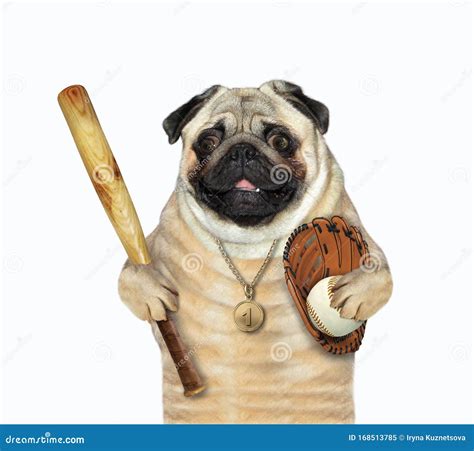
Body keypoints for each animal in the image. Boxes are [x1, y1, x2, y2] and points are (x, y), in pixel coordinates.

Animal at [118, 81, 392, 424]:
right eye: (208, 142)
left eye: (281, 141)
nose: (242, 151)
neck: (250, 244)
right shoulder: (155, 242)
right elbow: (129, 274)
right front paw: (149, 291)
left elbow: (379, 273)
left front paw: (353, 295)